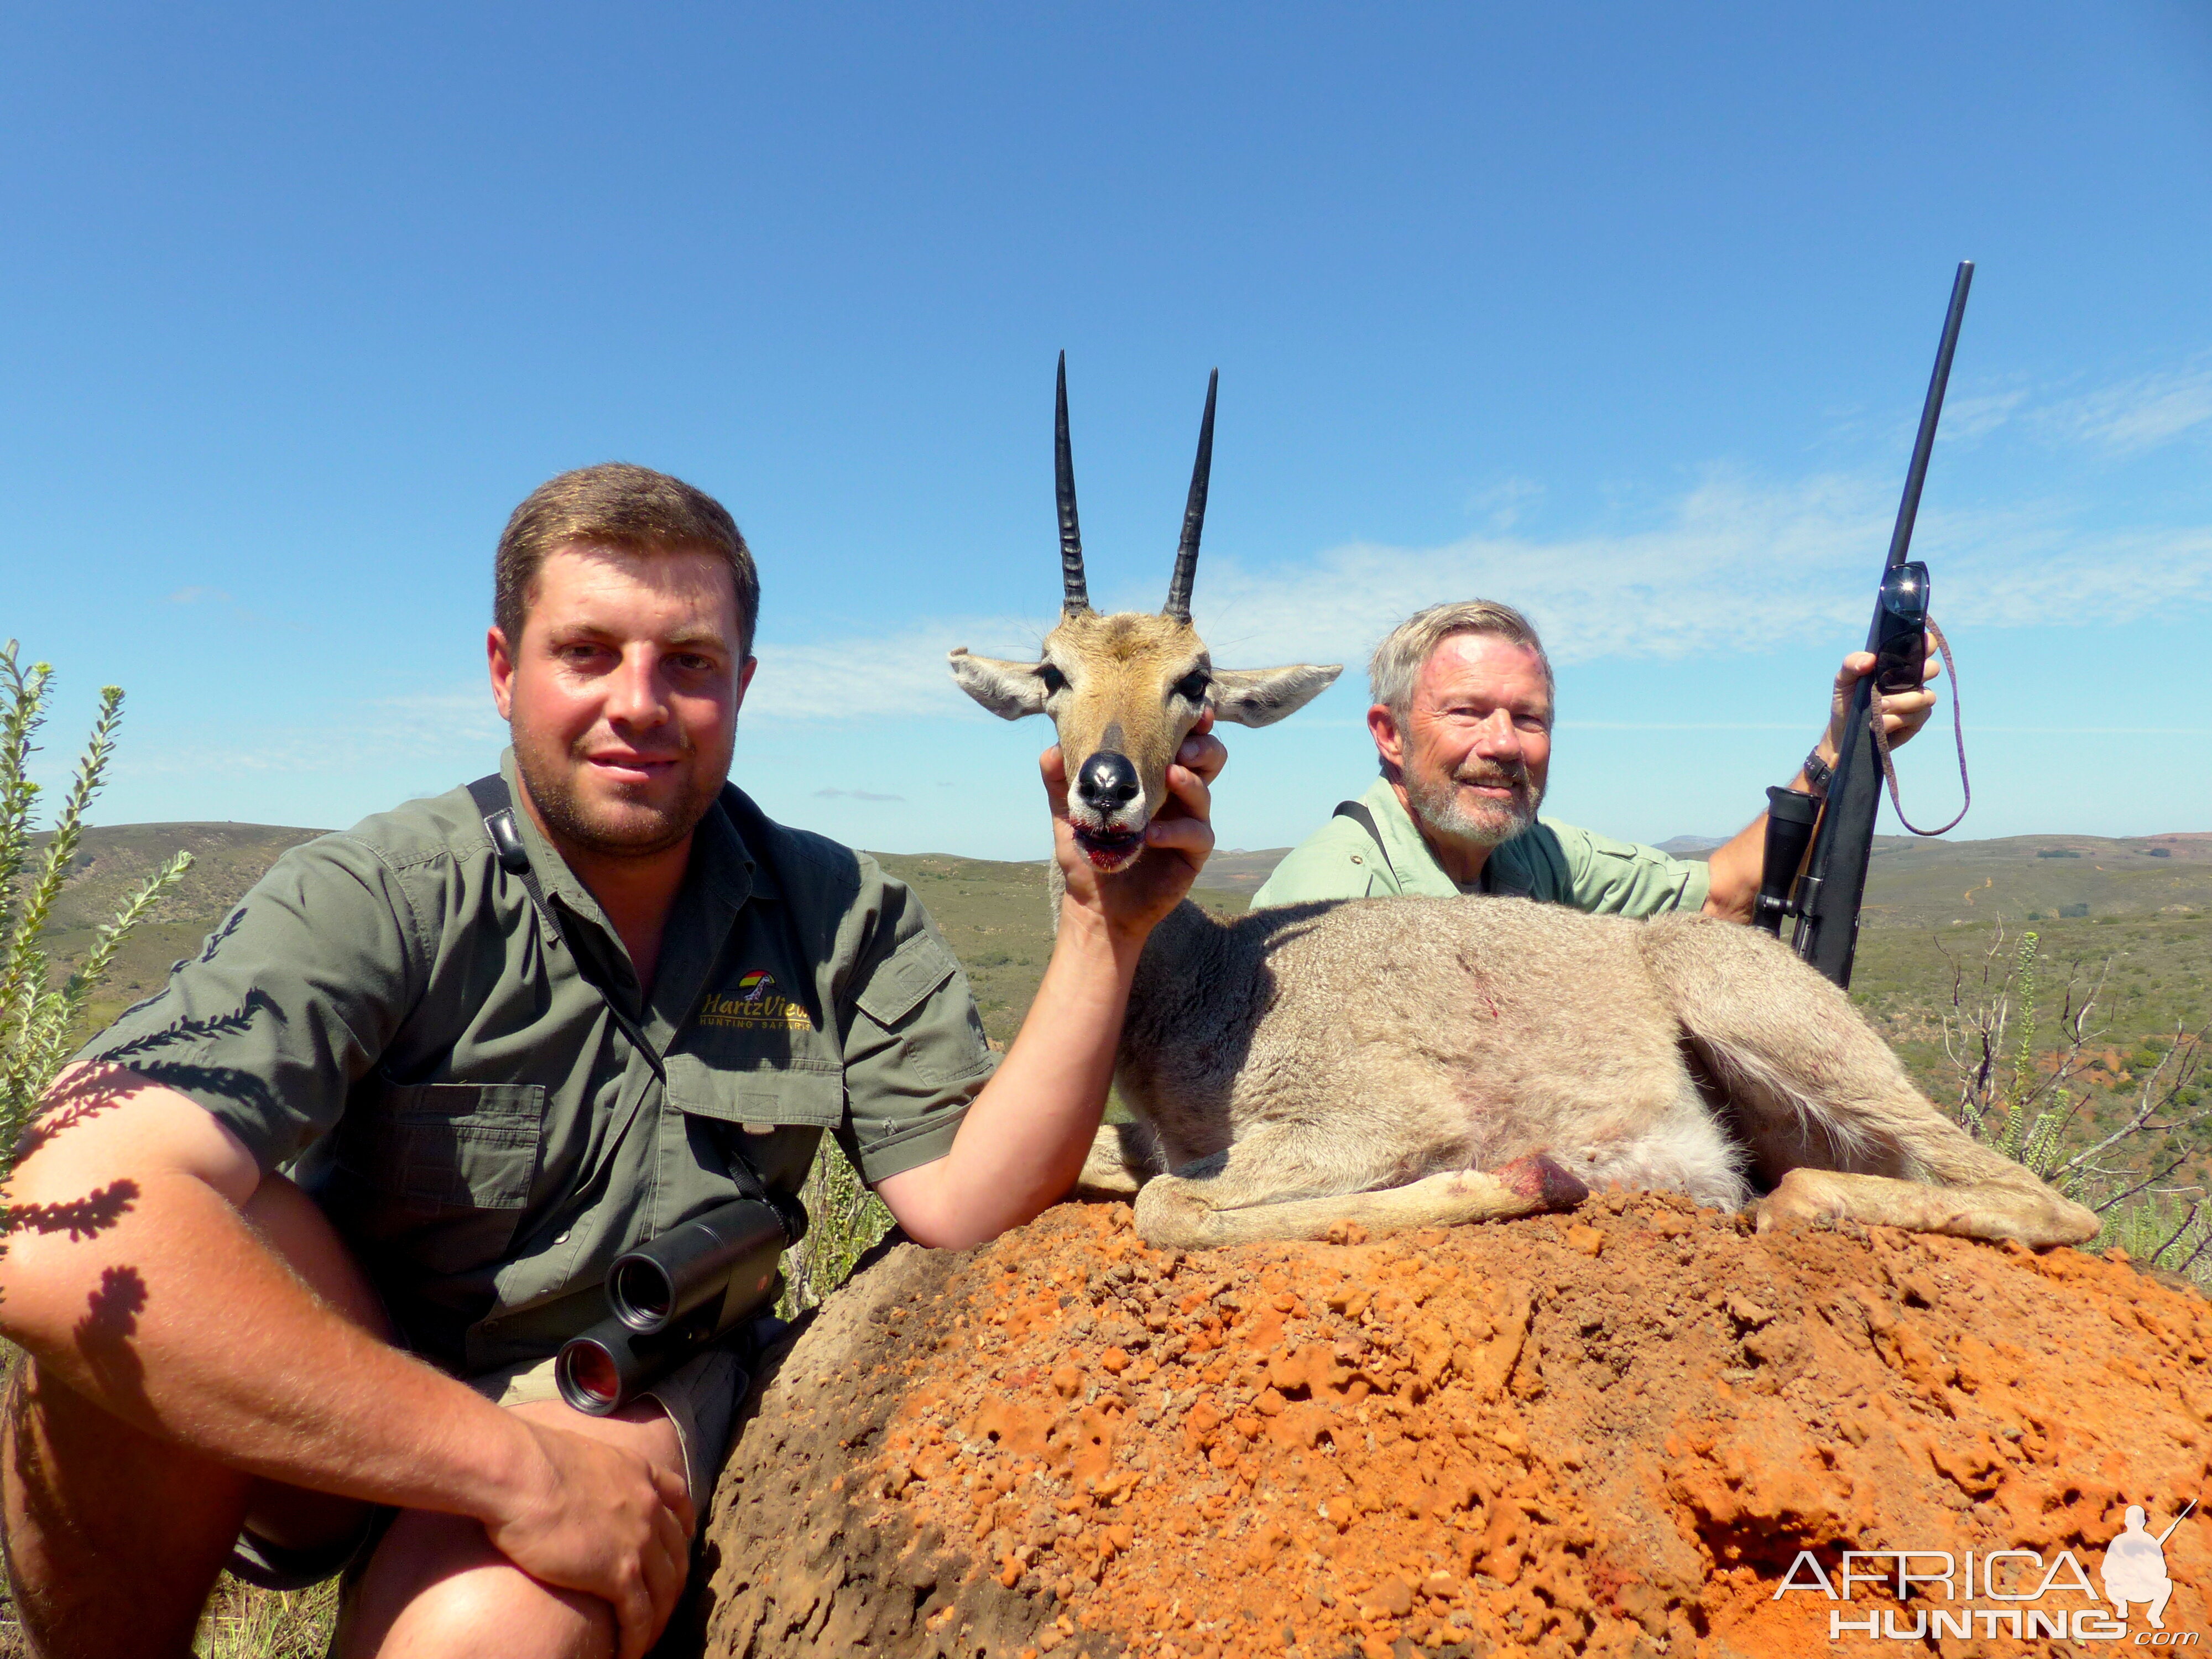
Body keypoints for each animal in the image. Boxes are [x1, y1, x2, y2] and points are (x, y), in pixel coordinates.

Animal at [947, 358, 2088, 1256]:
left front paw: (1512, 1177)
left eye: (1195, 681)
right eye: (1051, 673)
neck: (1209, 978)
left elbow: (1172, 1208)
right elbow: (1109, 1172)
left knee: (2045, 1205)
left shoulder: (1374, 1117)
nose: (1107, 790)